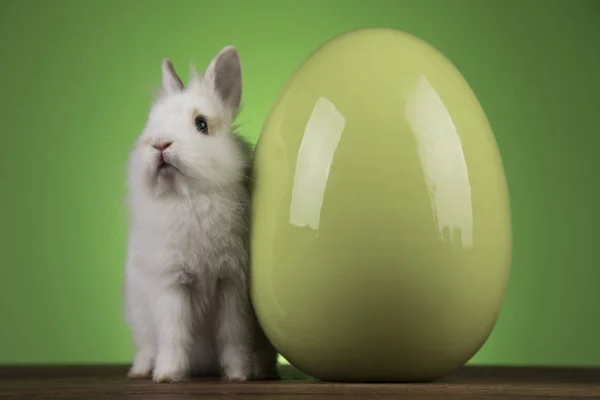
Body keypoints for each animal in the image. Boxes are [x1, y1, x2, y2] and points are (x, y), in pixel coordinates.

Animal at [123, 45, 282, 382]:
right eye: (150, 122)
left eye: (202, 124)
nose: (159, 143)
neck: (190, 197)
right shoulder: (172, 283)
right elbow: (174, 333)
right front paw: (167, 375)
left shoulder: (231, 284)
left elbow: (233, 334)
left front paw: (238, 375)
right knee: (147, 347)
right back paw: (141, 370)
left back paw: (260, 370)